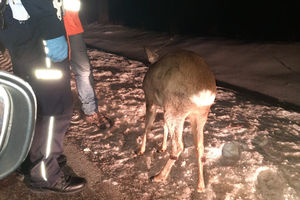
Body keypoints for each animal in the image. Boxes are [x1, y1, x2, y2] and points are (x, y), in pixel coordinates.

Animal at [137, 47, 217, 191]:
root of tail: (205, 94)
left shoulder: (150, 99)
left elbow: (148, 126)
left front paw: (141, 150)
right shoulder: (164, 105)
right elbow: (163, 125)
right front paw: (161, 148)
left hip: (176, 109)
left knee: (179, 145)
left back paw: (158, 176)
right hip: (198, 115)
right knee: (200, 148)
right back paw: (200, 185)